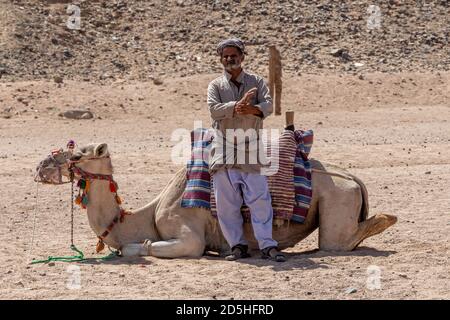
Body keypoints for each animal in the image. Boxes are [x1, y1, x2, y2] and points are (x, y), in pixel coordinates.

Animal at [37, 129, 400, 258]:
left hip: (337, 198)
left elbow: (142, 246)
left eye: (76, 154)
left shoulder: (187, 233)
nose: (40, 166)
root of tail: (352, 177)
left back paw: (387, 218)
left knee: (337, 242)